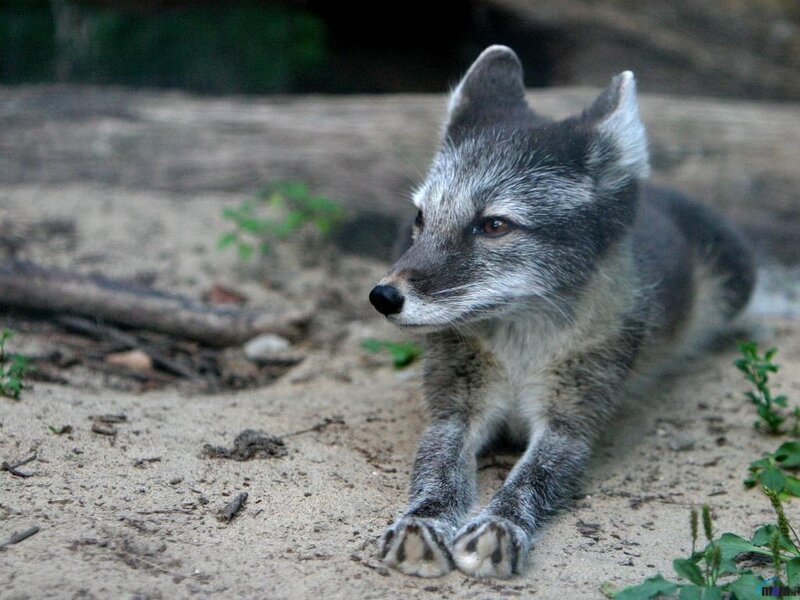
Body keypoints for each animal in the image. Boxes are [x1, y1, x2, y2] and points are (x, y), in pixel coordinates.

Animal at [367, 45, 755, 579]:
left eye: (494, 225)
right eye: (421, 219)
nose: (383, 296)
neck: (521, 350)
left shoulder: (572, 424)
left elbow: (532, 477)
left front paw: (500, 525)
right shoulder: (453, 411)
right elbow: (436, 469)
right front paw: (423, 521)